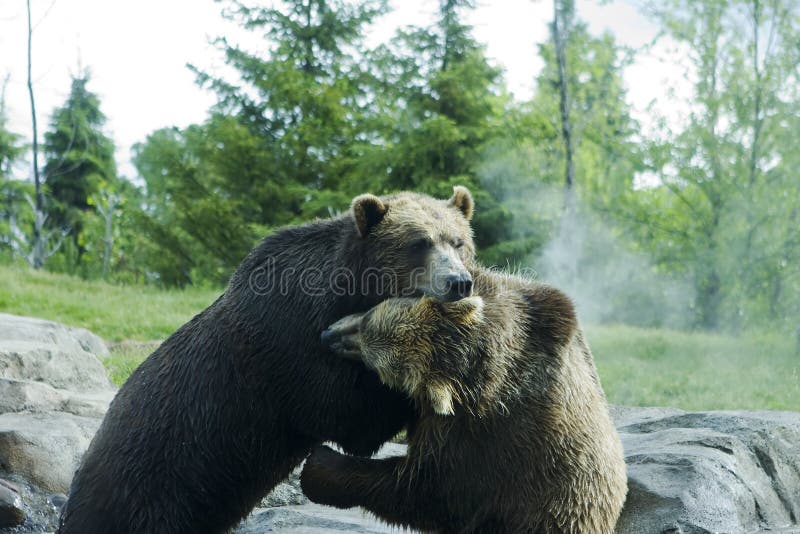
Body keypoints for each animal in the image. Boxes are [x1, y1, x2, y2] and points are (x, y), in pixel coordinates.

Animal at [61, 188, 482, 534]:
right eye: (419, 243)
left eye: (458, 242)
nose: (458, 282)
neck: (346, 291)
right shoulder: (289, 345)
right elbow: (348, 416)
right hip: (152, 482)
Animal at [304, 272, 628, 534]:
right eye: (368, 318)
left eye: (375, 364)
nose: (327, 335)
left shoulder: (479, 436)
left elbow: (427, 490)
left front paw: (320, 466)